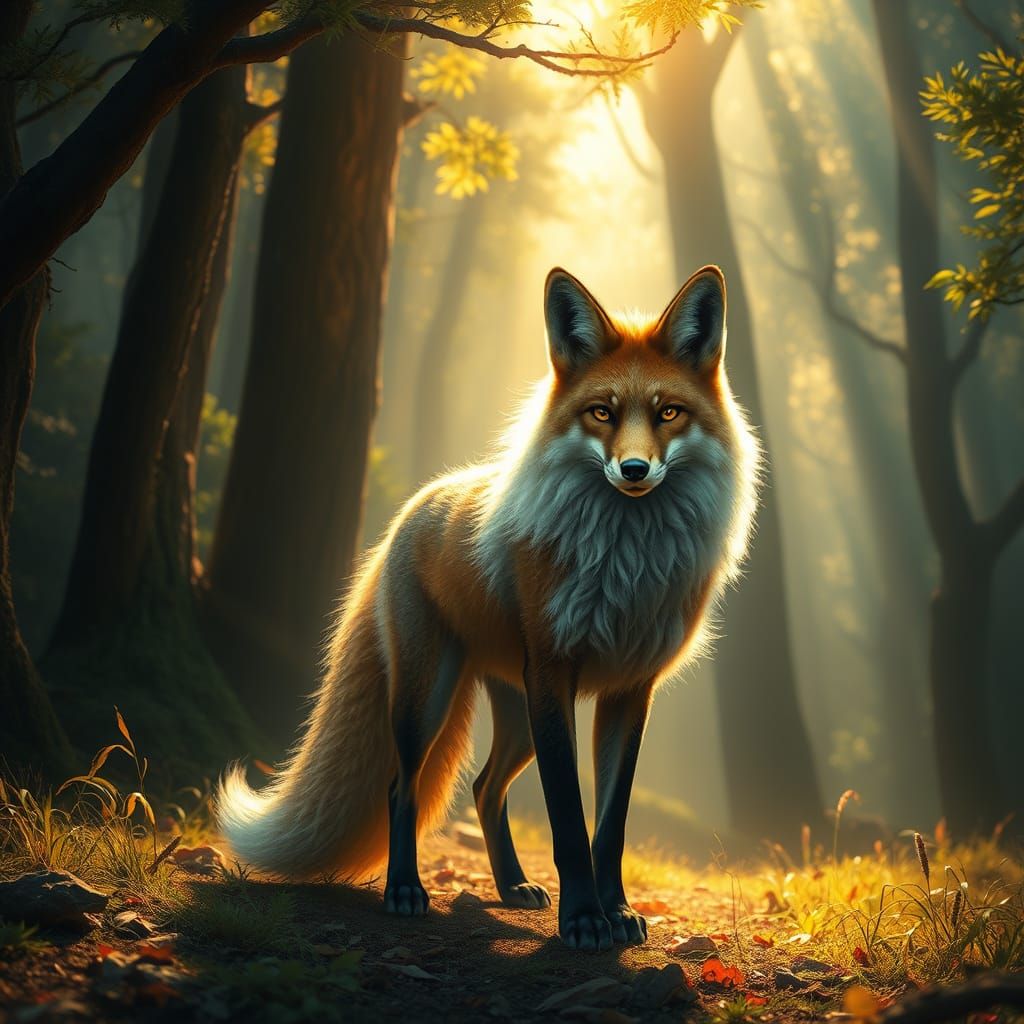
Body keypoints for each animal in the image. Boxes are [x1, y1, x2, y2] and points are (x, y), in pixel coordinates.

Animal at [217, 264, 760, 952]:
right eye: (601, 412)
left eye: (669, 412)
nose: (634, 470)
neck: (625, 563)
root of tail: (417, 503)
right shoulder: (554, 673)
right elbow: (568, 821)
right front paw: (583, 920)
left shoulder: (630, 691)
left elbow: (609, 829)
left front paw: (615, 912)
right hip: (431, 698)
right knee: (401, 786)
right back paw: (405, 890)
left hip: (519, 714)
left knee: (483, 786)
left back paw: (511, 886)